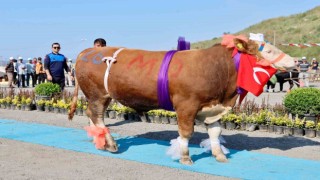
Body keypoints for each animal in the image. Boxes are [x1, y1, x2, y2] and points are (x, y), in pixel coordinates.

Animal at [69, 34, 296, 165]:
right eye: (268, 50)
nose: (294, 61)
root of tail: (89, 51)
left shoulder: (213, 108)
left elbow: (215, 132)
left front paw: (219, 155)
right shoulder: (186, 105)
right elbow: (186, 133)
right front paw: (185, 157)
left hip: (100, 96)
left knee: (92, 115)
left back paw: (99, 141)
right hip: (97, 95)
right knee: (97, 116)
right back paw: (110, 143)